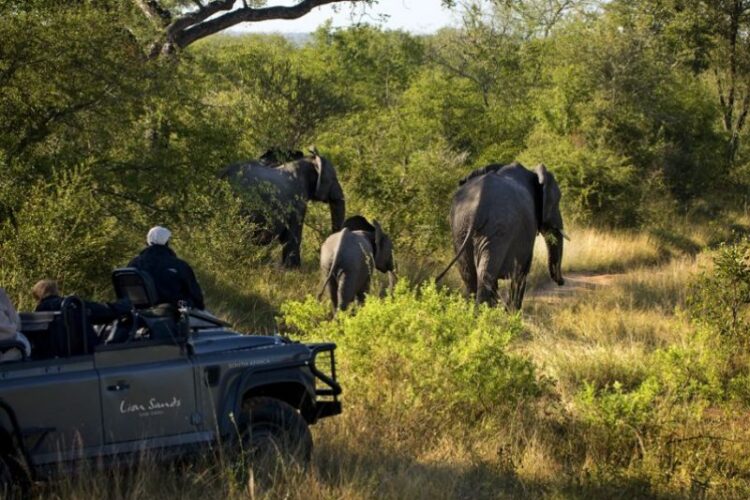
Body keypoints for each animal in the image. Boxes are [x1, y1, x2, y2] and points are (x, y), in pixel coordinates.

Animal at [438, 161, 568, 308]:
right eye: (556, 202)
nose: (561, 282)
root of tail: (478, 205)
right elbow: (522, 272)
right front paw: (513, 313)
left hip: (460, 228)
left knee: (470, 275)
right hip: (498, 228)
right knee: (486, 275)